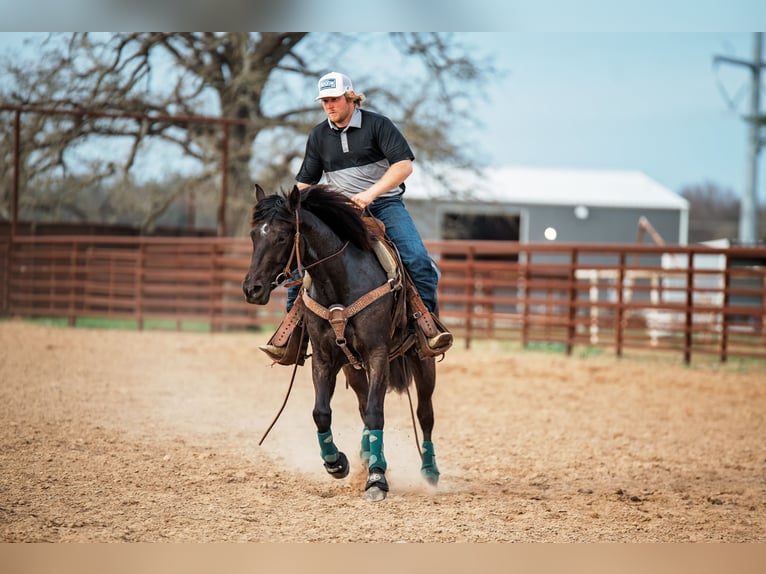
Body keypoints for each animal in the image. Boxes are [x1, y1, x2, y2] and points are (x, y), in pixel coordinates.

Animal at [242, 183, 440, 501]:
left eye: (282, 236)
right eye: (253, 235)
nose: (252, 289)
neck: (339, 280)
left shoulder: (377, 354)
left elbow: (376, 413)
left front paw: (376, 479)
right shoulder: (325, 358)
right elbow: (322, 413)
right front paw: (336, 462)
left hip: (422, 361)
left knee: (424, 413)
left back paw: (429, 470)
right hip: (353, 368)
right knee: (362, 404)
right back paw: (366, 454)